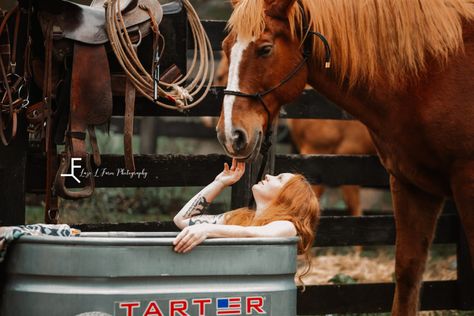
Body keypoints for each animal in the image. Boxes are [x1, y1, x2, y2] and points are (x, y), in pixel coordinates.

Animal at [216, 1, 474, 314]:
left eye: (265, 49)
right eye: (226, 47)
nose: (230, 134)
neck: (430, 75)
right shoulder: (411, 183)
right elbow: (407, 272)